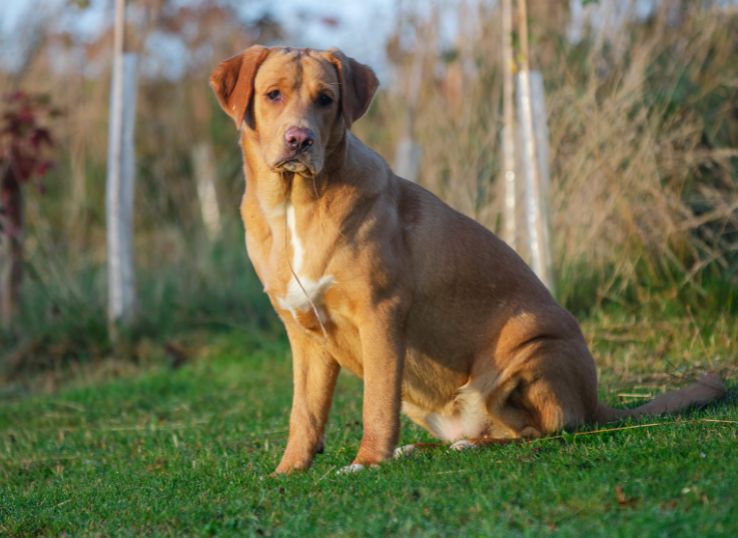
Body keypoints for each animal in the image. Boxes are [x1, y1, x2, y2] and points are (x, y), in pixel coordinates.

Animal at [207, 47, 724, 474]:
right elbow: (305, 413)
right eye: (273, 94)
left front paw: (367, 462)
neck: (295, 206)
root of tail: (595, 400)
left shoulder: (381, 316)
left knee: (539, 430)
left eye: (326, 99)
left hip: (524, 357)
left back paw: (469, 445)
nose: (300, 139)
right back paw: (425, 448)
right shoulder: (304, 334)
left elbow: (375, 404)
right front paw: (288, 471)